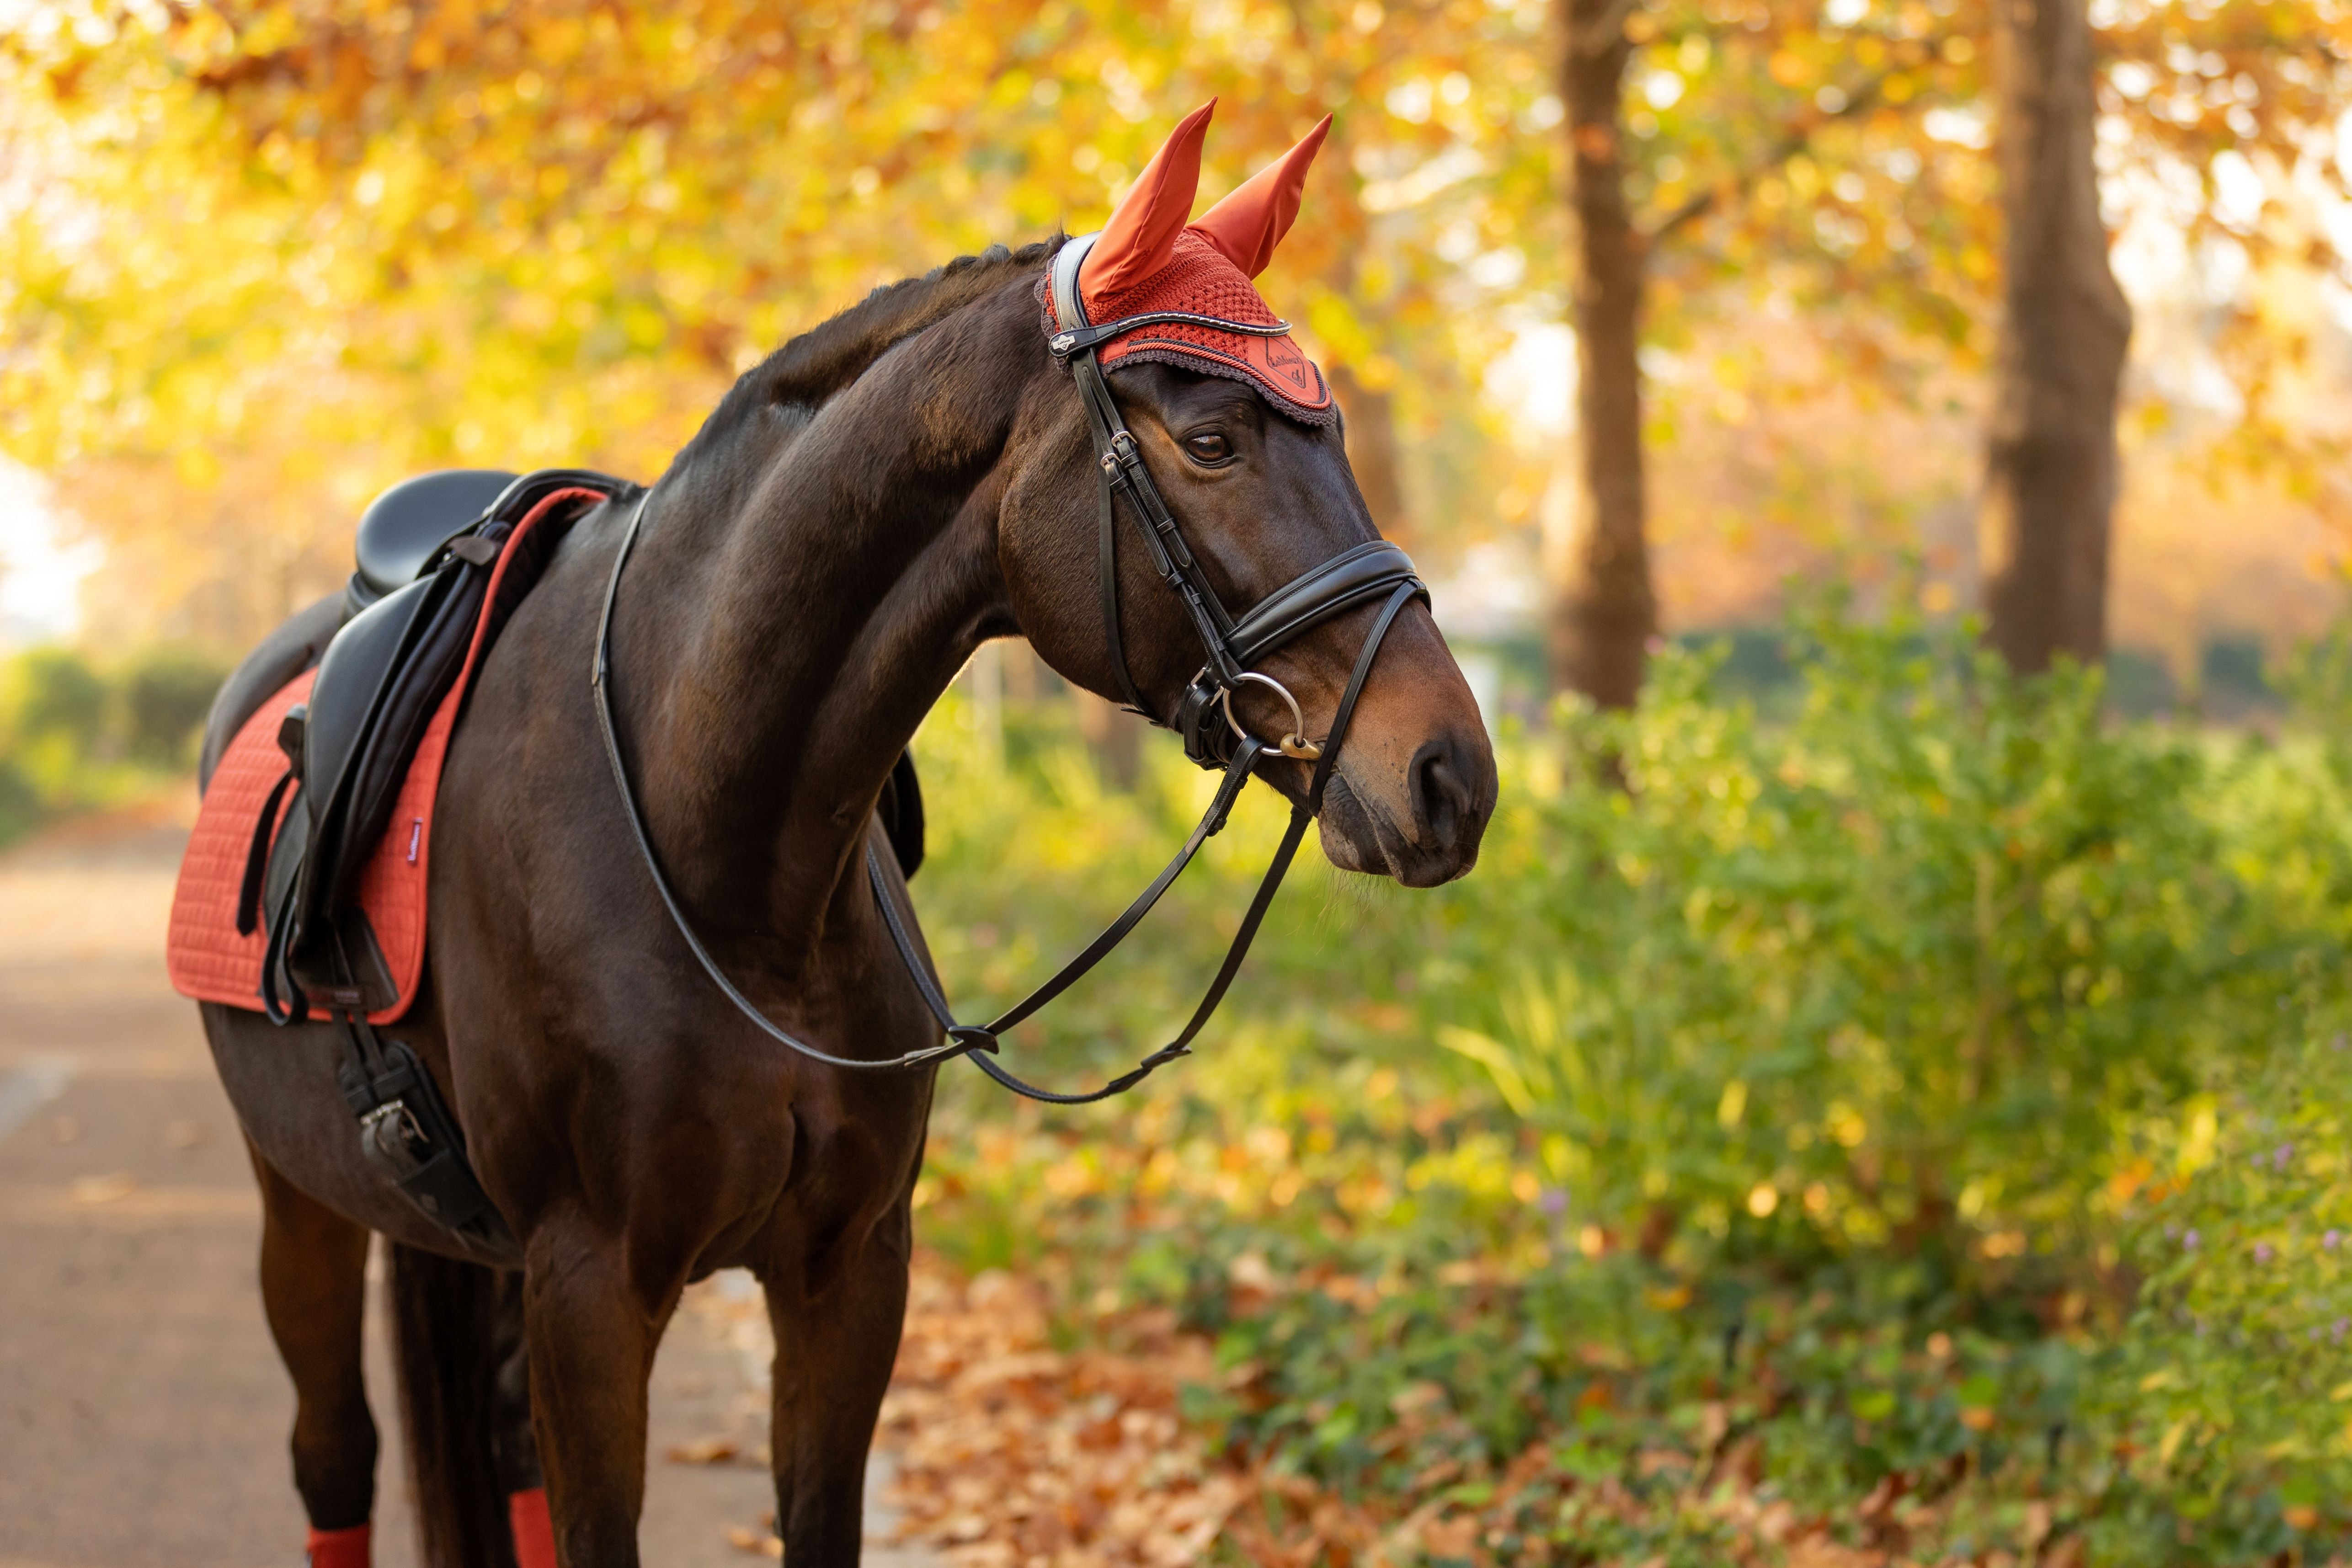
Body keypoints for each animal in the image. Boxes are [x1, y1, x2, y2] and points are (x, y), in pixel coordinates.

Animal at [192, 104, 1496, 1561]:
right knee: (334, 1457)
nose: (1450, 771)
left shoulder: (849, 1270)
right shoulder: (591, 1286)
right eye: (1214, 440)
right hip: (301, 1200)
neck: (723, 858)